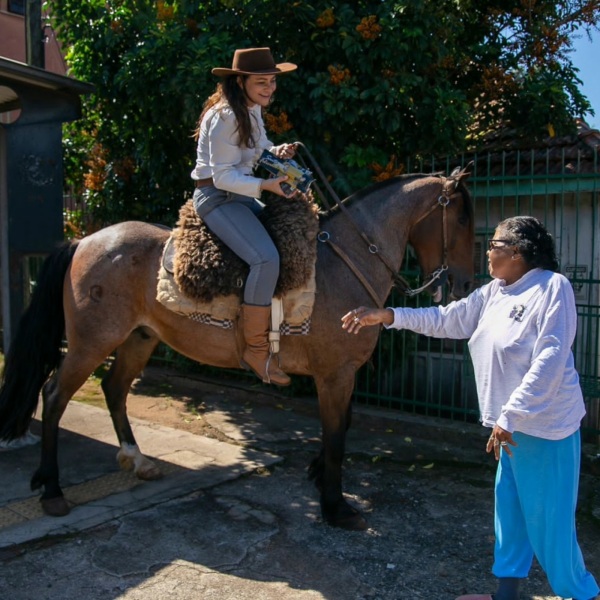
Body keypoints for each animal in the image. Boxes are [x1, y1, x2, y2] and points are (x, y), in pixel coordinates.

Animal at [0, 166, 474, 532]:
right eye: (465, 221)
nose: (465, 283)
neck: (347, 261)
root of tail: (83, 241)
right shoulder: (335, 374)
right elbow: (337, 434)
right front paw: (336, 507)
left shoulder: (343, 375)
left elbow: (342, 426)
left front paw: (319, 476)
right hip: (91, 341)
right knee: (55, 396)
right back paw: (53, 490)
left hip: (139, 338)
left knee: (114, 389)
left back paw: (137, 461)